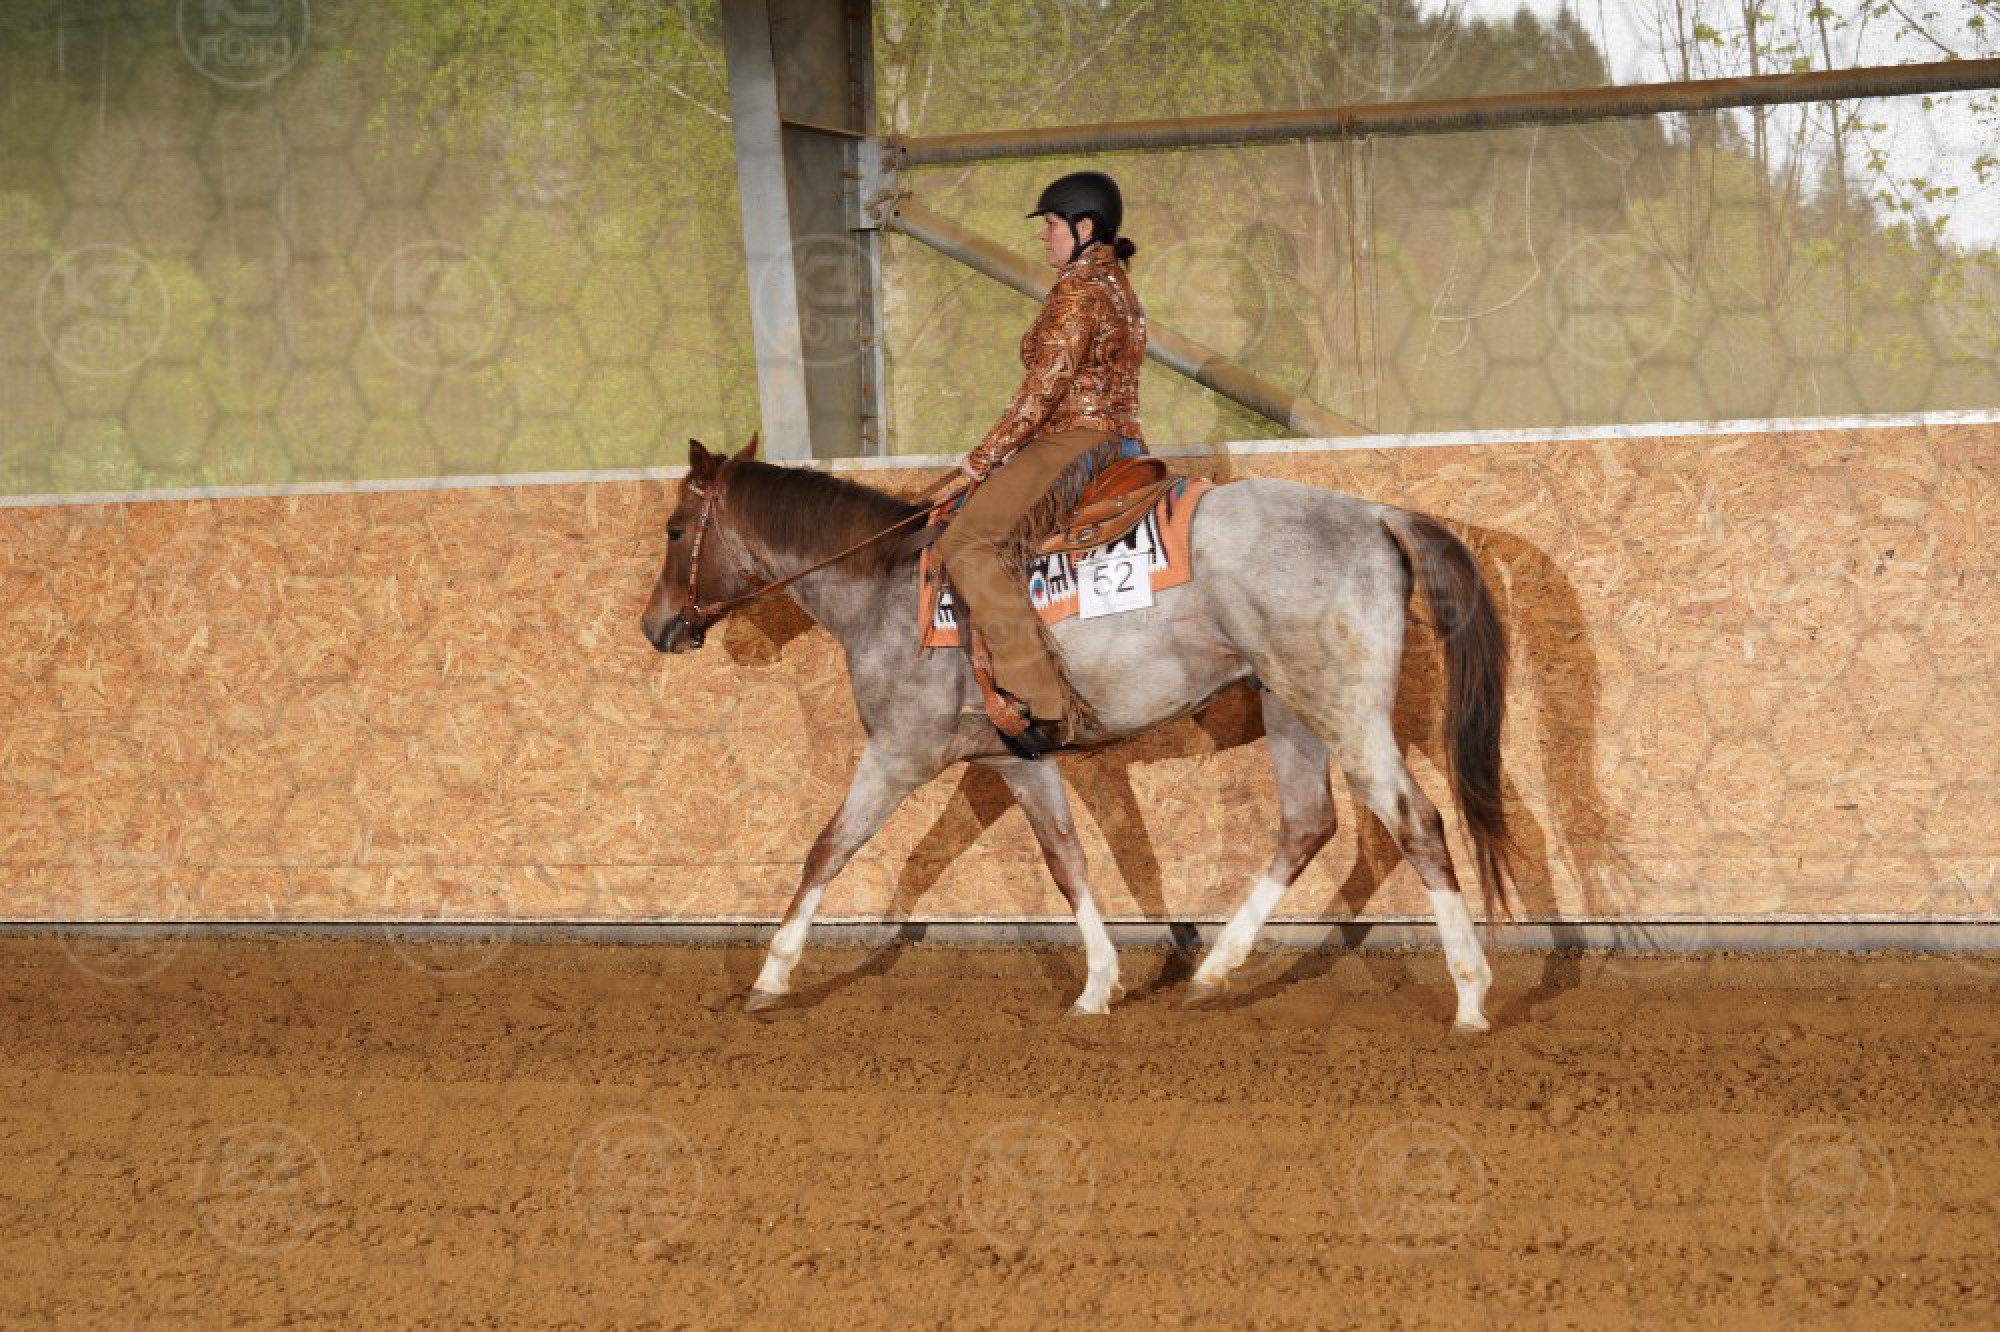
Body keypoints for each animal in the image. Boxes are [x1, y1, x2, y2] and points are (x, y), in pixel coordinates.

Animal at [641, 437, 1514, 1029]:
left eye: (676, 530)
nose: (656, 627)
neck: (886, 587)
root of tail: (1375, 514)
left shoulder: (899, 751)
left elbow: (829, 847)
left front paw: (772, 975)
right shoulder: (1017, 759)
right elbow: (1068, 861)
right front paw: (1098, 984)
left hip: (1343, 708)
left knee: (1417, 822)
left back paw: (1471, 995)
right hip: (1288, 706)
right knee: (1308, 825)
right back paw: (1214, 971)